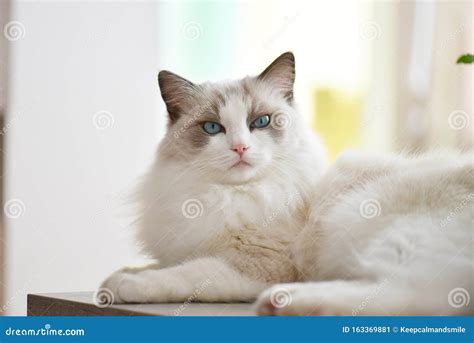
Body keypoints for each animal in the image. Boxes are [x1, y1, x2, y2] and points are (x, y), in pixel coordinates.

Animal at [99, 51, 470, 318]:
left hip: (373, 224)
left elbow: (183, 274)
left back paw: (282, 301)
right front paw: (125, 271)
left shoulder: (258, 264)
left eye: (260, 122)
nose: (240, 148)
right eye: (212, 128)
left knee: (413, 296)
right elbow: (165, 263)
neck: (228, 197)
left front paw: (119, 284)